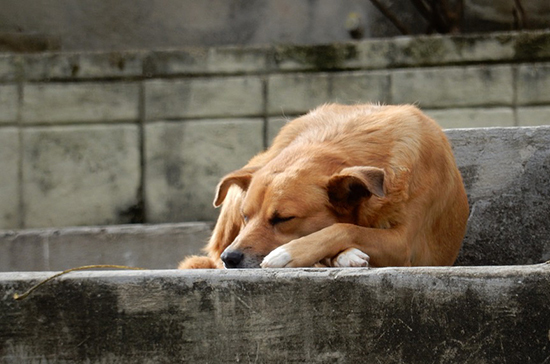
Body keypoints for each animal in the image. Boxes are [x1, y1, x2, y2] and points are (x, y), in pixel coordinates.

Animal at [178, 104, 470, 268]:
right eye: (246, 217)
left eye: (283, 219)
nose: (231, 258)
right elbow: (346, 229)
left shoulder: (404, 243)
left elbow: (343, 228)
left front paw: (287, 253)